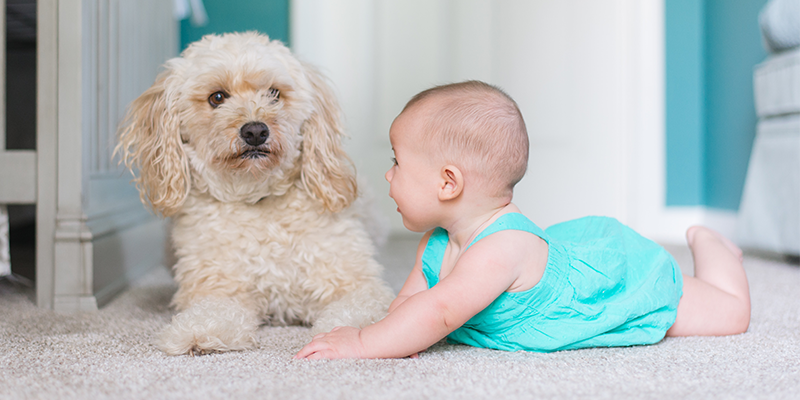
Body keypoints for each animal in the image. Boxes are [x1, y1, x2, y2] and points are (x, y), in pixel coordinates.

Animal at [115, 32, 394, 356]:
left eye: (274, 93)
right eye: (217, 97)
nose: (255, 131)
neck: (257, 198)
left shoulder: (356, 284)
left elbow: (360, 310)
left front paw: (350, 335)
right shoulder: (218, 288)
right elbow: (213, 312)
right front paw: (199, 332)